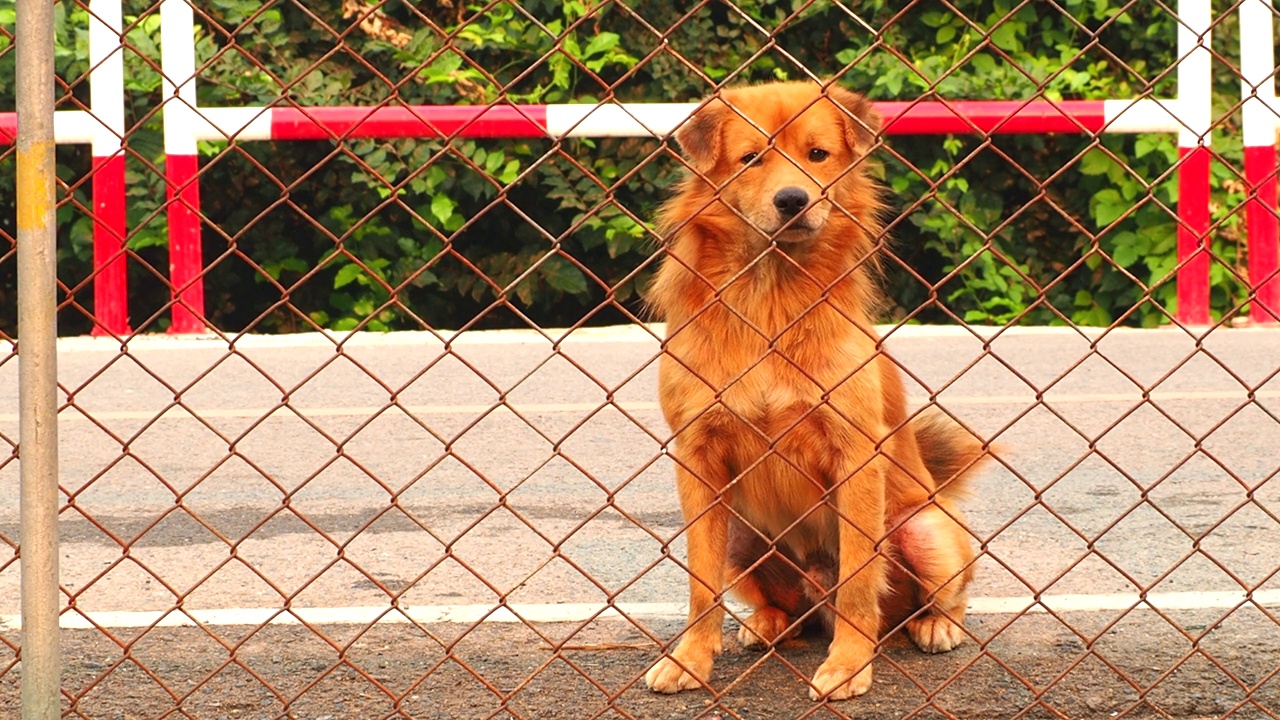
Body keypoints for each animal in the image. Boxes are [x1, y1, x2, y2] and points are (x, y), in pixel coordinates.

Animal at [640, 81, 988, 696]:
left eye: (818, 154)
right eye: (750, 158)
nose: (792, 200)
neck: (770, 298)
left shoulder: (856, 455)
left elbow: (858, 579)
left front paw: (849, 665)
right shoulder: (696, 457)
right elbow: (700, 585)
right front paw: (689, 658)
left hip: (927, 529)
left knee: (937, 599)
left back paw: (935, 626)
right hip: (743, 538)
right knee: (788, 609)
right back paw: (767, 623)